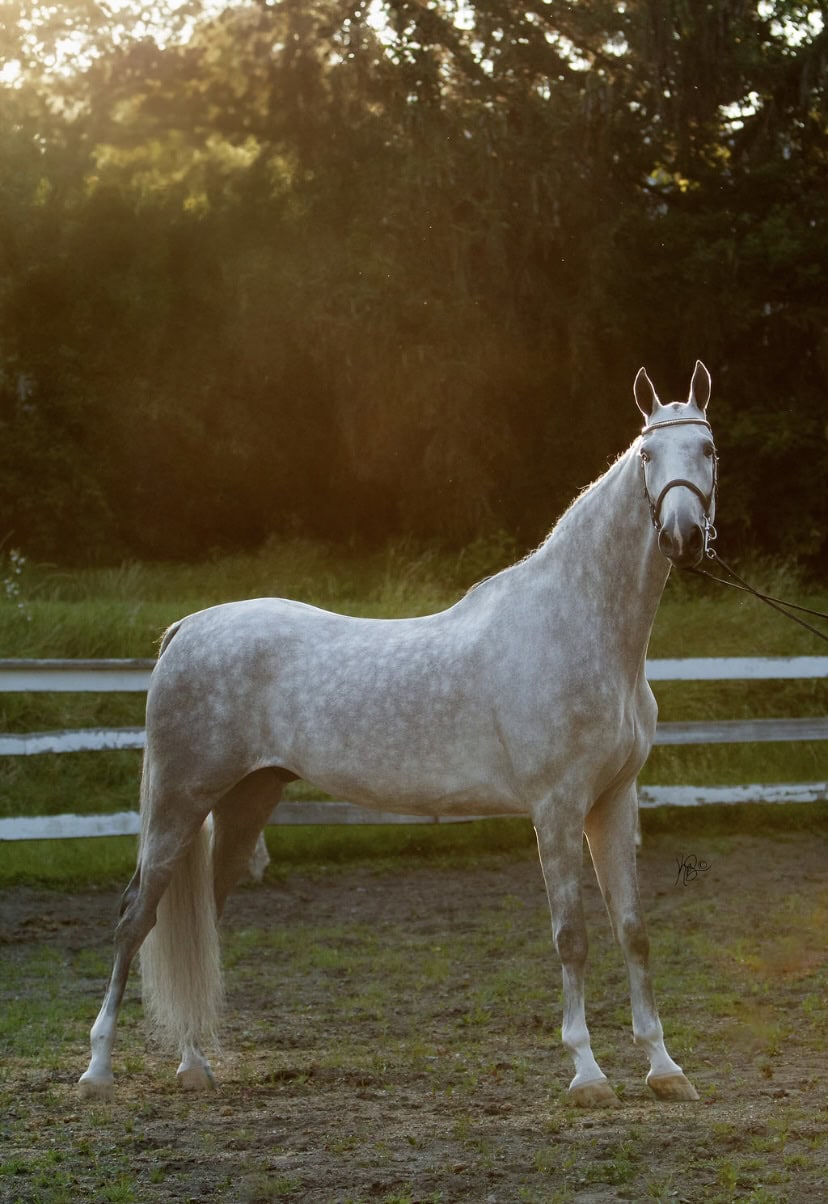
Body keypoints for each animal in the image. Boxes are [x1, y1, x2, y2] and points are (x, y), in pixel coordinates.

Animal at [79, 361, 716, 1108]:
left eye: (707, 449)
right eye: (647, 455)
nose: (681, 535)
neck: (576, 626)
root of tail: (188, 629)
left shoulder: (612, 802)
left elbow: (633, 932)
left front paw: (664, 1068)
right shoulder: (557, 808)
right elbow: (573, 936)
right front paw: (587, 1073)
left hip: (244, 802)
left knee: (199, 920)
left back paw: (193, 1065)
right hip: (179, 803)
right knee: (134, 919)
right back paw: (97, 1071)